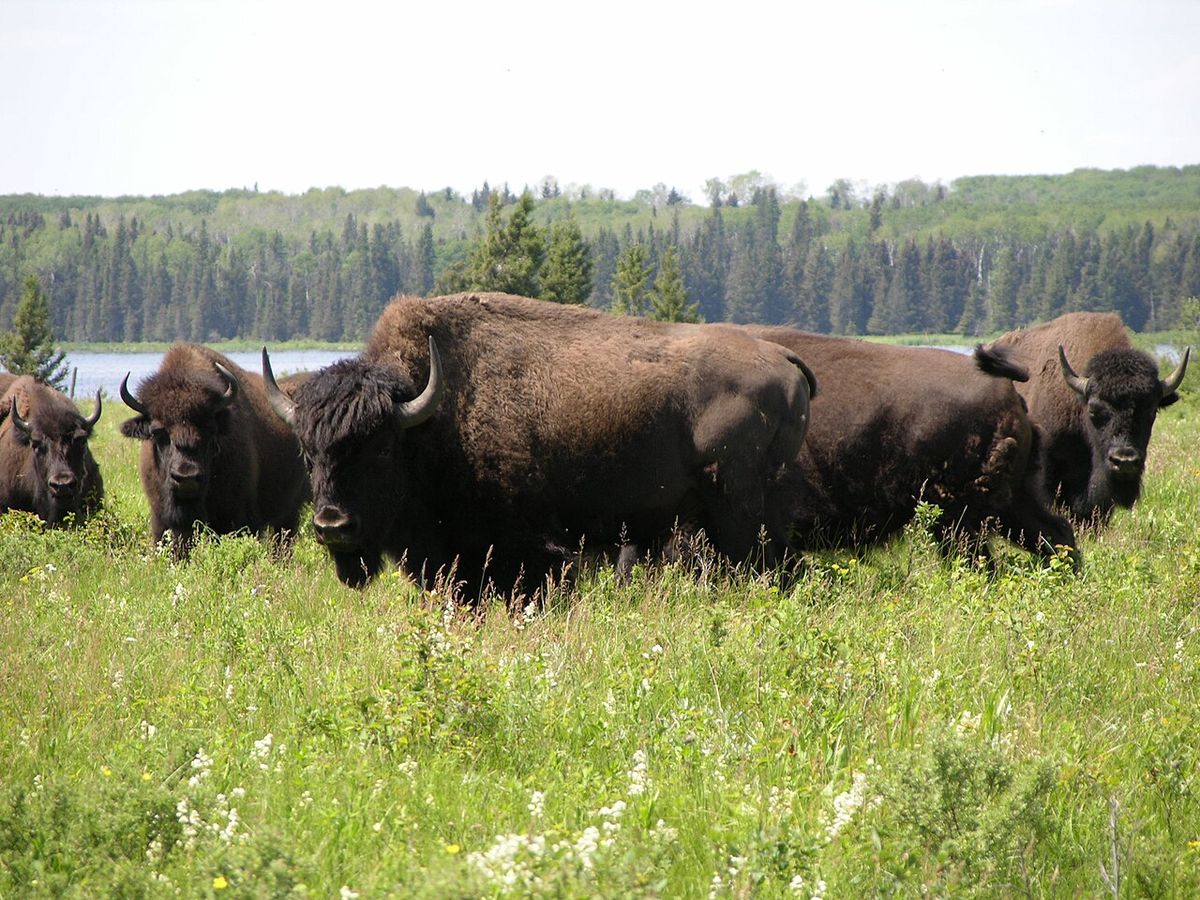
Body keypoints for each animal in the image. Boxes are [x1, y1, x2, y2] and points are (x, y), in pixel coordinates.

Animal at [263, 292, 817, 594]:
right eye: (308, 453)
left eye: (380, 449)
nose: (332, 526)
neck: (431, 417)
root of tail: (782, 357)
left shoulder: (529, 553)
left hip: (740, 514)